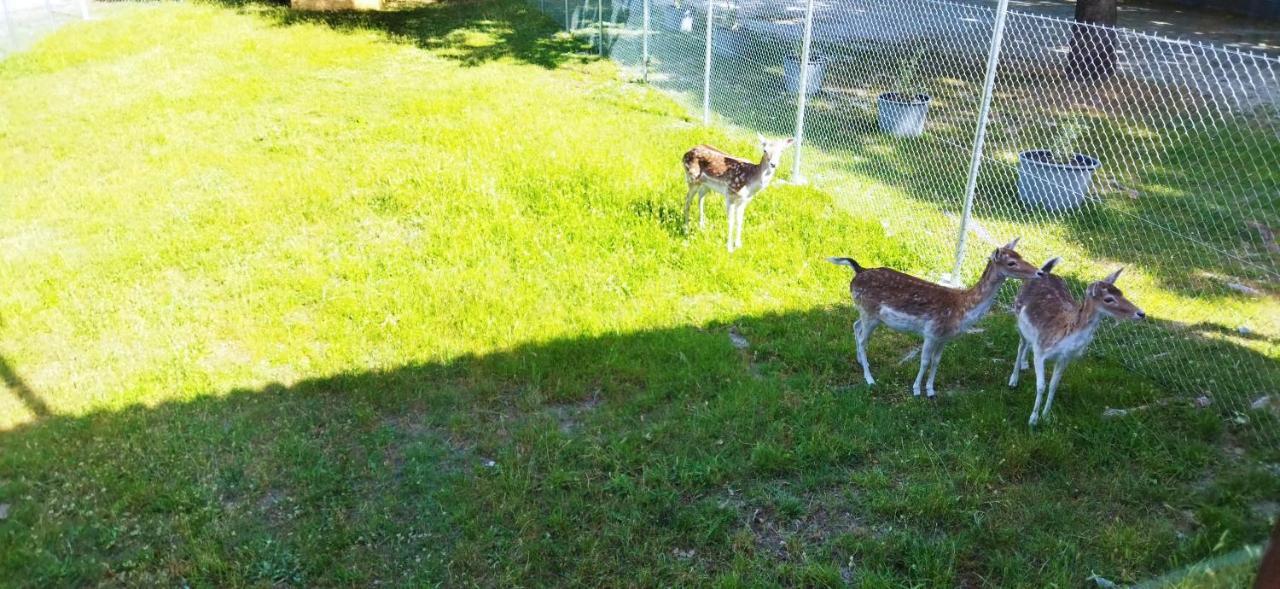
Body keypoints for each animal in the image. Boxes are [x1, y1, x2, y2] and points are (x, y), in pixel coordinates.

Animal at [824, 239, 1044, 399]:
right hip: (869, 312)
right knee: (863, 339)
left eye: (1020, 255)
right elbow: (924, 361)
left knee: (856, 326)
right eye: (1011, 262)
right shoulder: (931, 332)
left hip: (868, 314)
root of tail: (858, 270)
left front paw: (931, 390)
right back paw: (870, 378)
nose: (1040, 272)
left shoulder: (944, 337)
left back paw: (860, 362)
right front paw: (916, 390)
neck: (962, 310)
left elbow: (936, 361)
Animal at [1008, 261, 1152, 422]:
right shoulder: (1040, 350)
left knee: (1027, 344)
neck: (1066, 336)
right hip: (1018, 317)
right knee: (1021, 345)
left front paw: (1046, 416)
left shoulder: (1065, 358)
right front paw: (1033, 419)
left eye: (1122, 293)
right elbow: (1041, 386)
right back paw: (1013, 380)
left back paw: (1025, 364)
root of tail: (1044, 271)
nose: (1141, 313)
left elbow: (1053, 385)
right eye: (1108, 299)